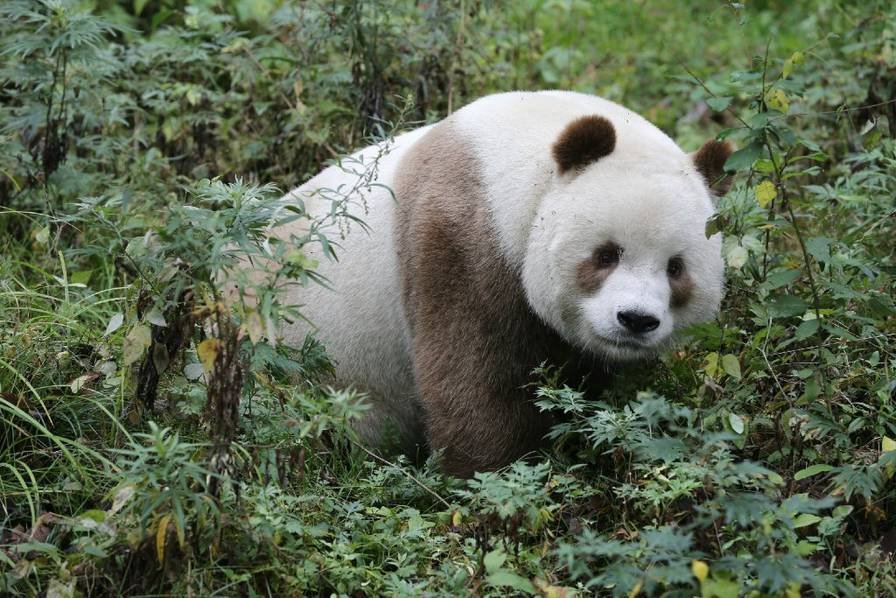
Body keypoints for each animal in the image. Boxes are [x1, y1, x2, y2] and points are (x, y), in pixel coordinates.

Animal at [274, 91, 732, 478]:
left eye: (675, 268)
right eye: (607, 254)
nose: (636, 320)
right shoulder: (462, 240)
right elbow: (473, 377)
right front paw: (491, 474)